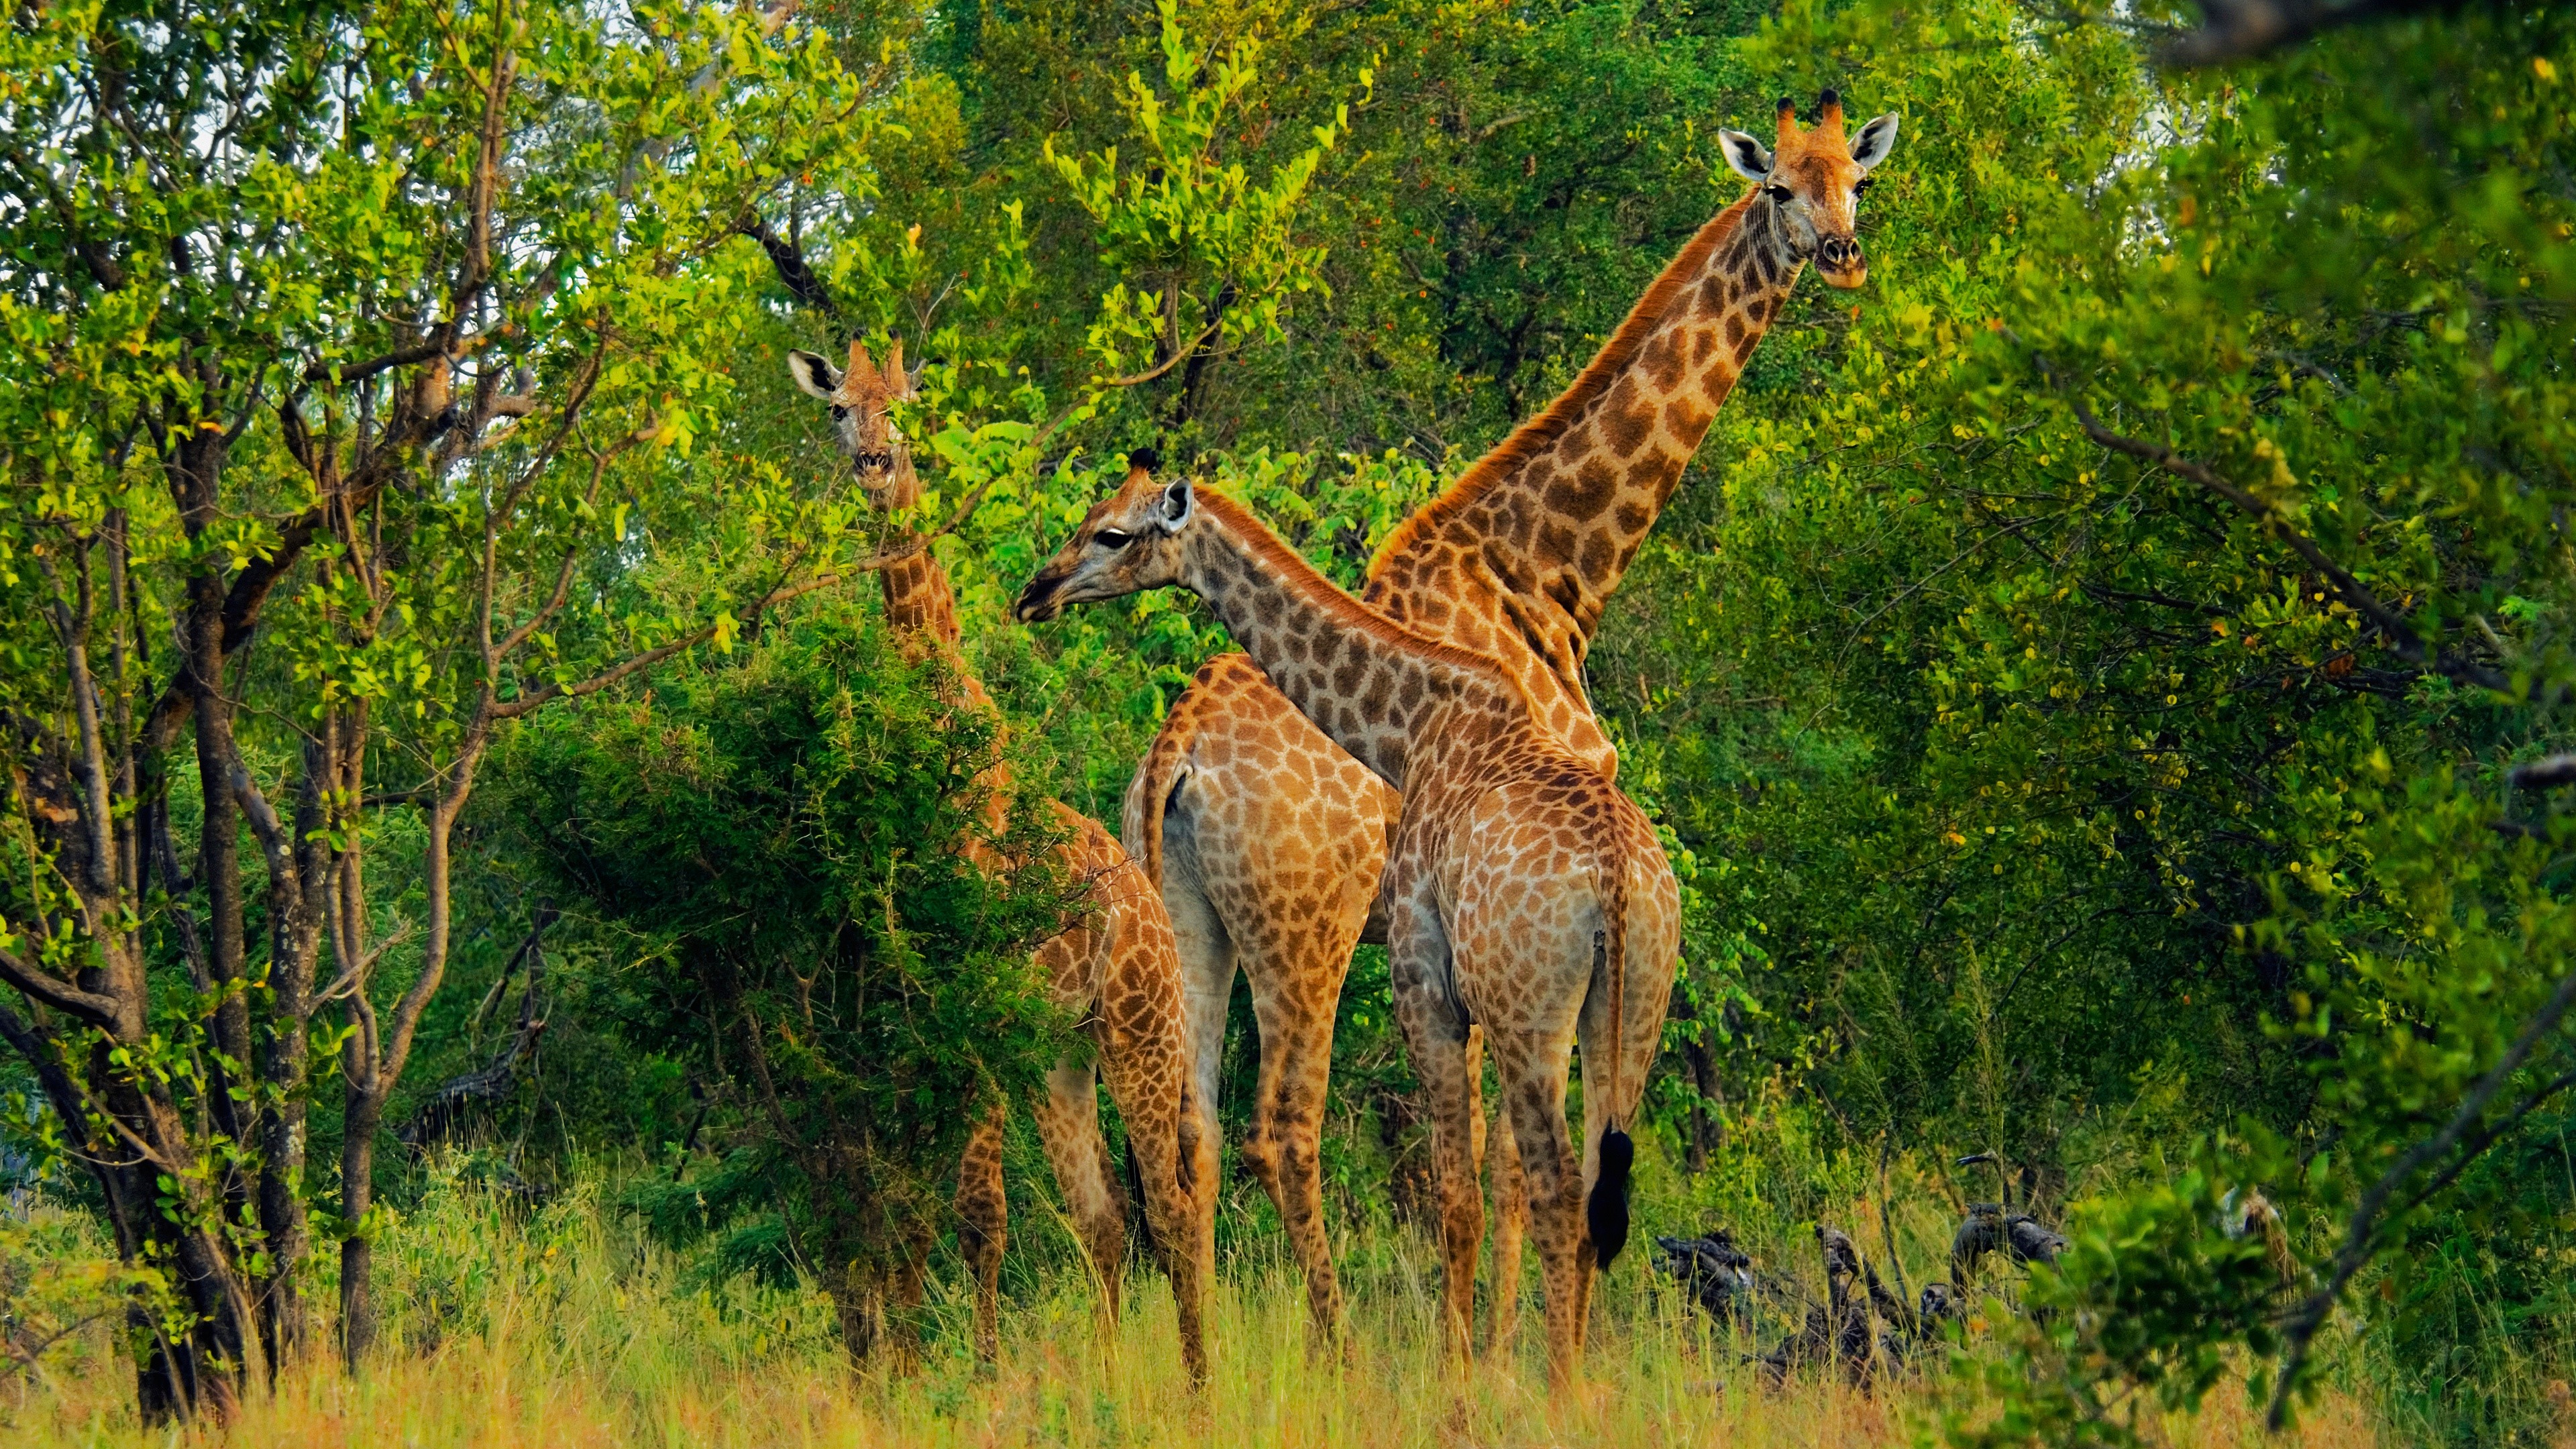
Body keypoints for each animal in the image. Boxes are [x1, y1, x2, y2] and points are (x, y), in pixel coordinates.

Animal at [787, 339, 1216, 1382]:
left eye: (902, 407)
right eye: (838, 410)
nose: (874, 466)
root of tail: (1152, 920)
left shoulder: (974, 1001)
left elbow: (980, 1210)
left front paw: (977, 1380)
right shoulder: (916, 1008)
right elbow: (914, 1206)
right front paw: (903, 1370)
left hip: (1136, 1035)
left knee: (1172, 1208)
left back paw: (1197, 1386)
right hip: (1061, 1054)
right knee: (1104, 1217)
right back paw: (1110, 1373)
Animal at [1017, 463, 1683, 1388]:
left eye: (1111, 532)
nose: (1033, 593)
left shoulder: (1425, 976)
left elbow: (1466, 1180)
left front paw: (1469, 1374)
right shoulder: (1448, 983)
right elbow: (1475, 1177)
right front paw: (1476, 1364)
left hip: (1491, 999)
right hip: (1614, 1006)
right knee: (1581, 1186)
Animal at [1122, 90, 1903, 1344]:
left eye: (1857, 183)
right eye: (1780, 185)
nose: (1841, 255)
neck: (1547, 571)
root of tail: (1175, 760)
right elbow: (1502, 1155)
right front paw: (1493, 1345)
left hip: (1191, 919)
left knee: (1186, 1138)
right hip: (1306, 936)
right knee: (1282, 1132)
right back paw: (1336, 1351)